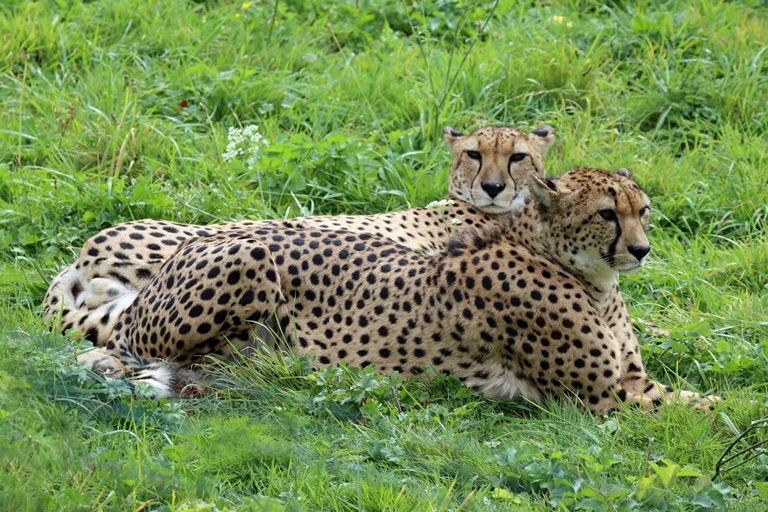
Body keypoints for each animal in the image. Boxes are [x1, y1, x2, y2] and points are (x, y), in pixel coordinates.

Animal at [77, 167, 716, 414]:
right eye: (608, 214)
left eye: (643, 211)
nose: (642, 249)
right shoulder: (606, 396)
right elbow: (707, 409)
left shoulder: (629, 381)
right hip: (250, 259)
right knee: (117, 347)